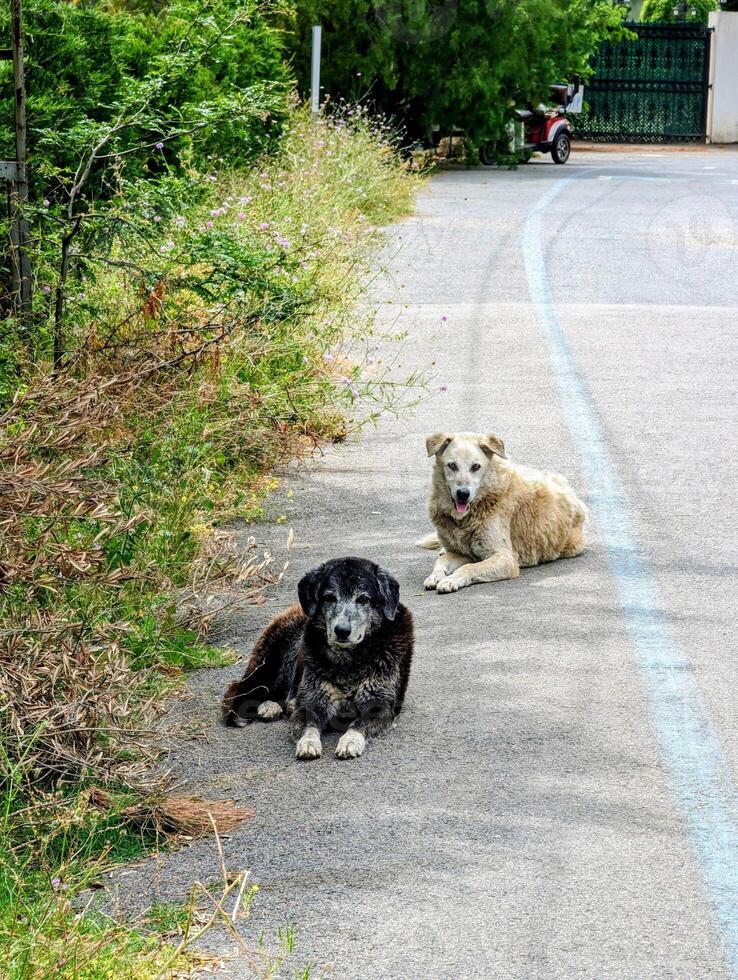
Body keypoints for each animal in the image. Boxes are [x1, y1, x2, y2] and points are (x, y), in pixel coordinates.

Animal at [221, 560, 412, 756]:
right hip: (278, 660)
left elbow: (359, 723)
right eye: (329, 598)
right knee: (259, 689)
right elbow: (309, 725)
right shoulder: (312, 700)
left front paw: (350, 740)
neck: (347, 660)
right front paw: (308, 742)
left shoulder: (379, 704)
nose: (342, 630)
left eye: (364, 599)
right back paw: (270, 706)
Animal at [420, 432, 588, 592]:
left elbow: (468, 568)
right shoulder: (461, 553)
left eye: (475, 467)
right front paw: (435, 576)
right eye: (452, 465)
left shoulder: (505, 559)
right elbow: (441, 562)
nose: (463, 493)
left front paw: (451, 580)